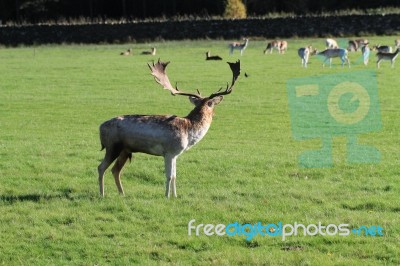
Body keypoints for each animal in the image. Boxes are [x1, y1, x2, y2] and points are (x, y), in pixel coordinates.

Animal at [97, 59, 241, 197]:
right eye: (211, 104)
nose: (215, 114)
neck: (189, 131)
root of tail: (100, 127)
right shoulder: (169, 152)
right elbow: (169, 176)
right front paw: (166, 196)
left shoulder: (176, 154)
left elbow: (175, 176)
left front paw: (175, 196)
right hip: (113, 146)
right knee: (101, 167)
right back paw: (102, 194)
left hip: (125, 150)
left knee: (115, 170)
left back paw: (122, 193)